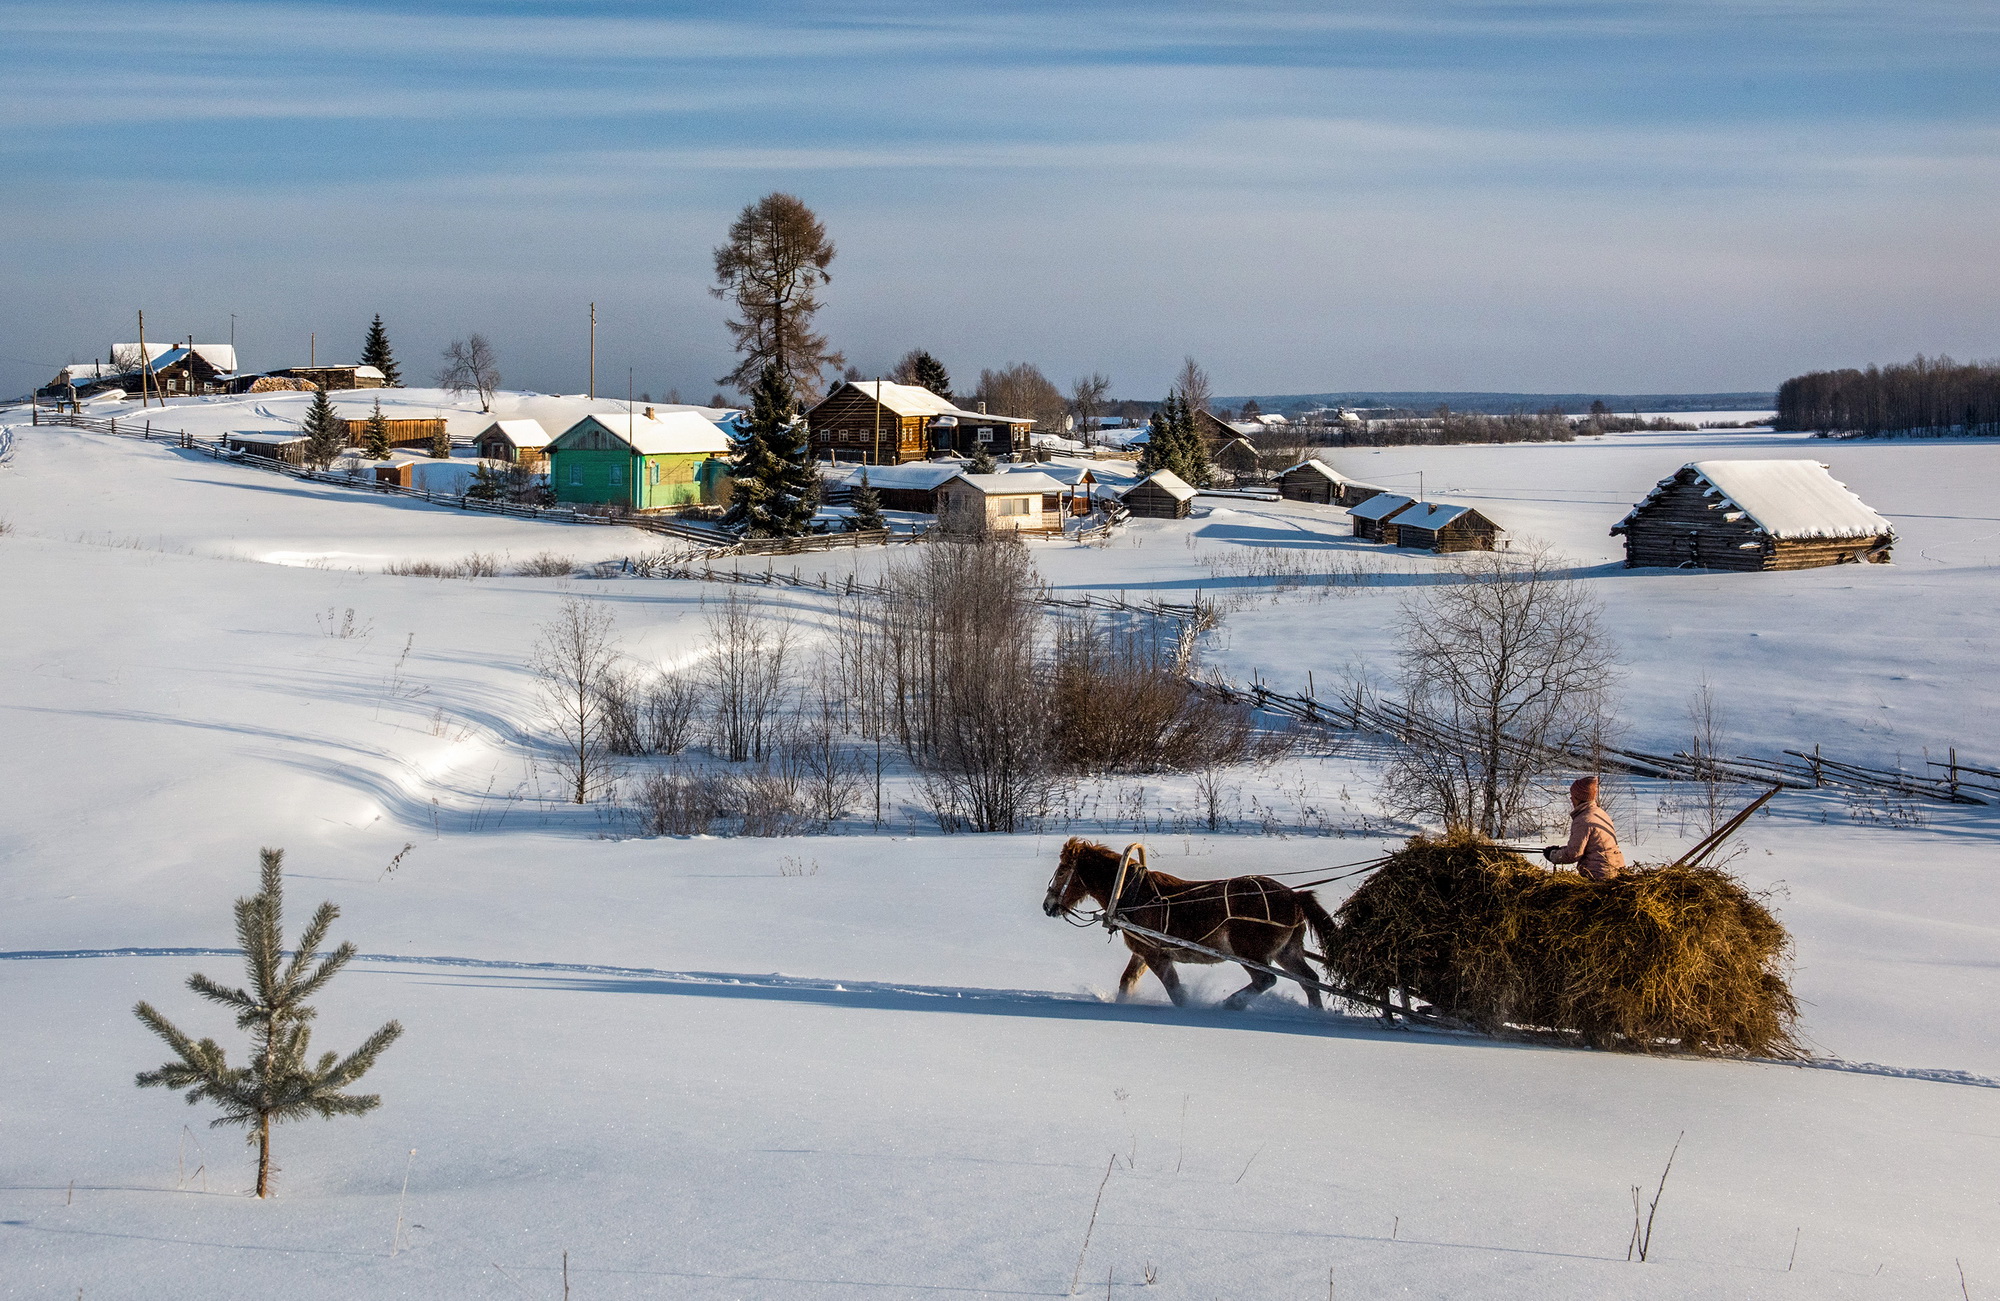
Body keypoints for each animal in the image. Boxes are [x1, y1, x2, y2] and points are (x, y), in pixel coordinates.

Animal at [1040, 836, 1336, 1008]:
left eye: (1063, 870)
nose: (1047, 906)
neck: (1131, 893)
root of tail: (1294, 896)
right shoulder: (1144, 952)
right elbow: (1127, 982)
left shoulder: (1157, 956)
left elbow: (1177, 993)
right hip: (1287, 951)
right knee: (1310, 982)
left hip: (1250, 953)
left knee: (1266, 980)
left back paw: (1231, 1004)